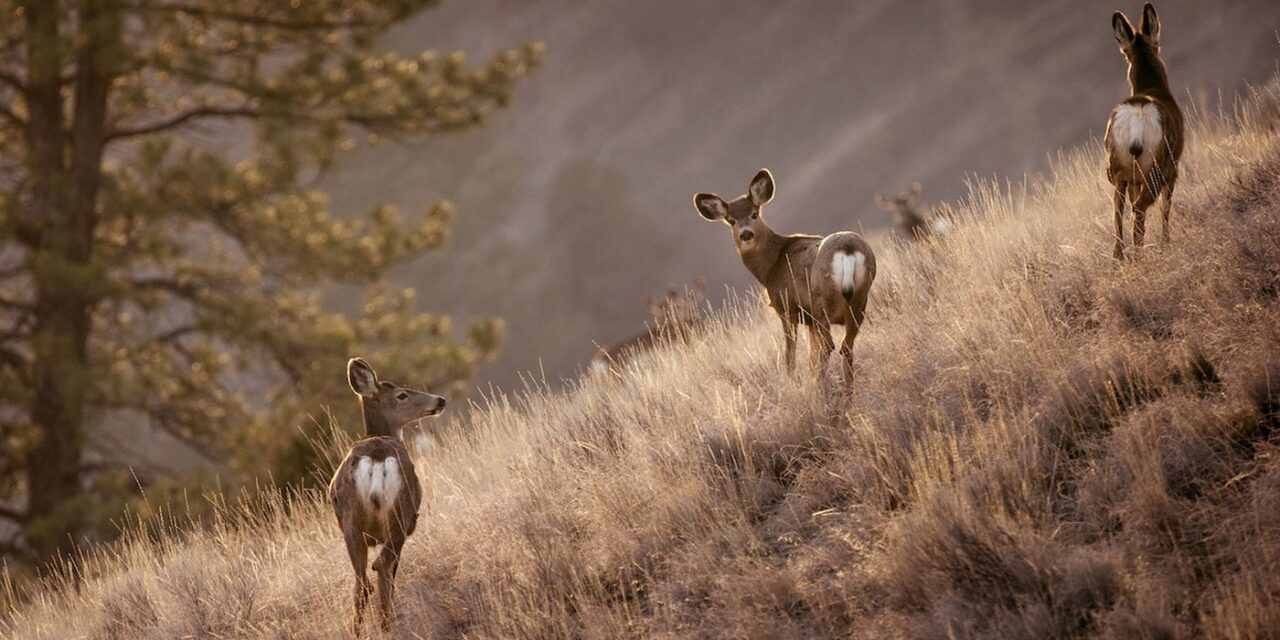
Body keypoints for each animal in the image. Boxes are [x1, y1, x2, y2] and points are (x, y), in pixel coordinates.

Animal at [329, 358, 446, 635]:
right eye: (402, 394)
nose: (440, 400)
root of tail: (377, 457)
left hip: (351, 524)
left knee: (361, 583)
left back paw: (359, 631)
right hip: (400, 516)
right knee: (382, 567)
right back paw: (387, 624)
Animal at [694, 169, 876, 377]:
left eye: (754, 214)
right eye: (731, 221)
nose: (746, 234)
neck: (772, 266)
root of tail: (847, 250)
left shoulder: (786, 307)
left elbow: (790, 355)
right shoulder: (809, 319)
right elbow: (811, 356)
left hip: (822, 302)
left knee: (828, 346)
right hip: (859, 301)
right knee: (845, 347)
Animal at [1105, 2, 1183, 260]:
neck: (1153, 88)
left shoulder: (1131, 179)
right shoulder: (1173, 171)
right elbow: (1166, 209)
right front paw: (1166, 243)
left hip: (1117, 171)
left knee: (1118, 212)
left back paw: (1121, 256)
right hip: (1157, 168)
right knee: (1139, 210)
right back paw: (1141, 254)